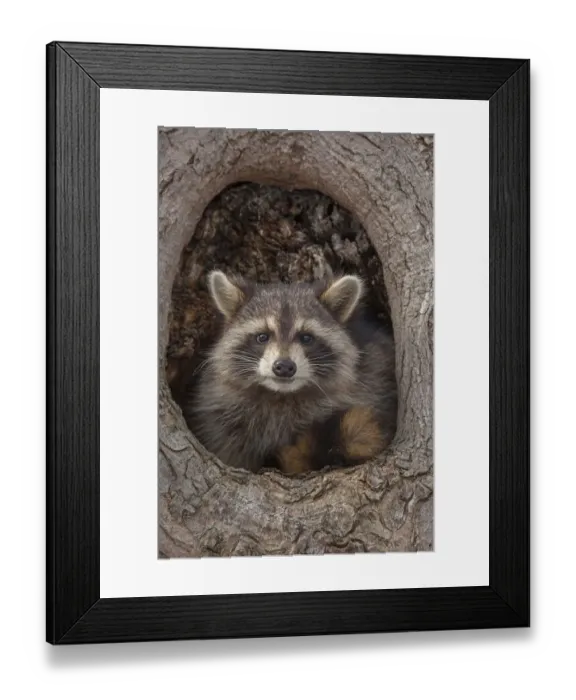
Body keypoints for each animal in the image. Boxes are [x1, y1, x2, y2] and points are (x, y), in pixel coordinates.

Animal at [181, 270, 397, 473]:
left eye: (306, 338)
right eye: (262, 337)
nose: (284, 366)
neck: (281, 394)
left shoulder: (374, 380)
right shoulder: (221, 414)